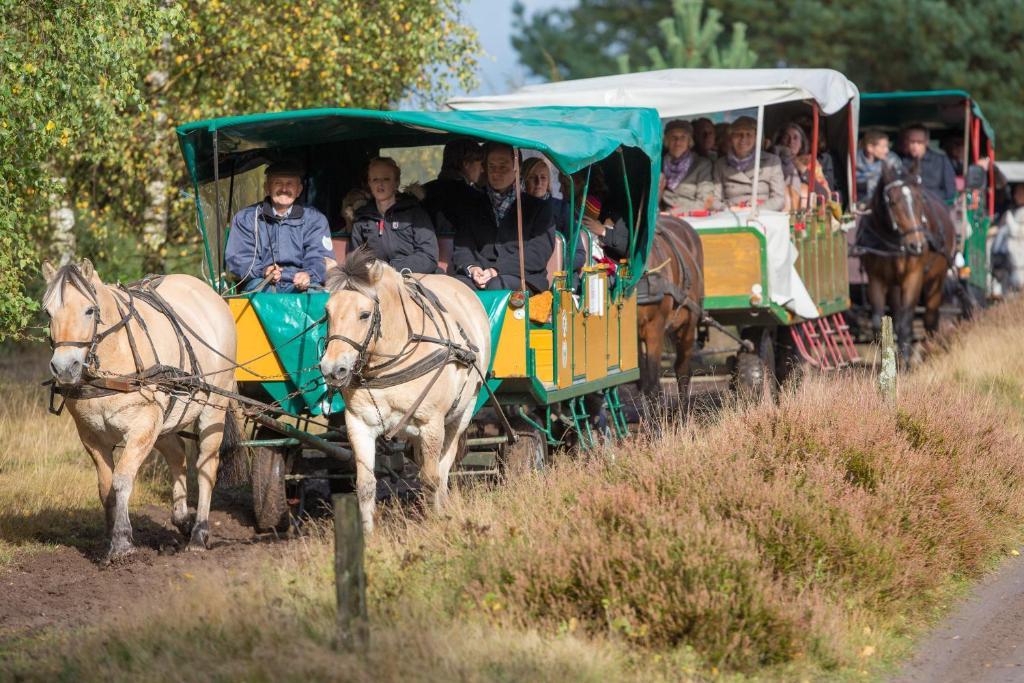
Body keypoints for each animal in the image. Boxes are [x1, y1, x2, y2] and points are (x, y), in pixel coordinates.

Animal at [42, 259, 239, 565]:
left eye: (89, 310)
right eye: (48, 312)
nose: (64, 367)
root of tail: (211, 295)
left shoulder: (142, 426)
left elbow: (122, 480)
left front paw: (123, 543)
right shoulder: (91, 436)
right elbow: (105, 487)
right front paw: (110, 539)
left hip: (212, 409)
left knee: (206, 465)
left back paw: (198, 534)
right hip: (167, 418)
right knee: (178, 455)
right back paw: (182, 520)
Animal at [321, 248, 493, 532]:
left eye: (364, 314)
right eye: (327, 312)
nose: (332, 369)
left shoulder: (432, 423)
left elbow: (431, 478)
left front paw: (435, 523)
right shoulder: (358, 424)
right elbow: (365, 485)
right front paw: (368, 535)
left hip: (462, 413)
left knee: (443, 466)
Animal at [856, 162, 958, 362]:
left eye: (919, 200)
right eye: (893, 202)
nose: (917, 245)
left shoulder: (914, 277)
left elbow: (905, 323)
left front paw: (905, 362)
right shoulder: (876, 279)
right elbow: (879, 322)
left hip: (937, 278)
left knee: (929, 317)